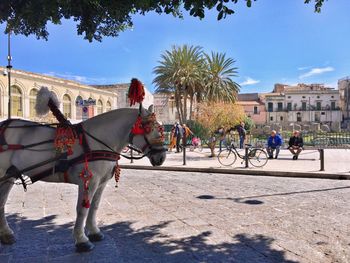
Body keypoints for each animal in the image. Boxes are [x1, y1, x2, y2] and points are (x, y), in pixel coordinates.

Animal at [0, 104, 165, 253]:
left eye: (161, 129)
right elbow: (82, 209)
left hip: (10, 175)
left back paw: (6, 234)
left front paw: (94, 232)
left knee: (2, 201)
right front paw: (81, 240)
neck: (97, 141)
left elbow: (94, 206)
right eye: (149, 129)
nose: (162, 157)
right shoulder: (89, 181)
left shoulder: (101, 182)